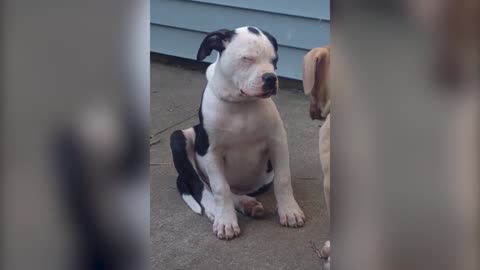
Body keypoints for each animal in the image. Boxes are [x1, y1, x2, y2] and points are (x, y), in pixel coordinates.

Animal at [170, 26, 304, 239]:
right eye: (246, 59)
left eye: (274, 60)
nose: (271, 78)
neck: (242, 104)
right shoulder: (211, 151)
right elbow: (220, 188)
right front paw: (225, 221)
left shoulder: (277, 140)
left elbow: (283, 179)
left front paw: (290, 211)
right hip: (177, 137)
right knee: (201, 185)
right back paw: (216, 211)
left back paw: (246, 203)